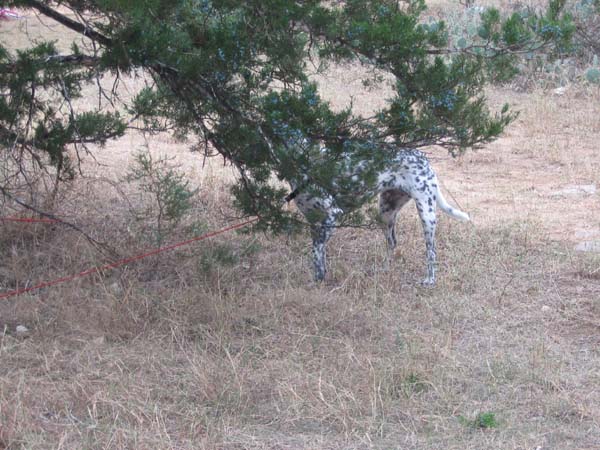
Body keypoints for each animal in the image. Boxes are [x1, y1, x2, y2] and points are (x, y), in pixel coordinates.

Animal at [290, 146, 468, 286]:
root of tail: (422, 157)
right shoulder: (315, 224)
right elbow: (320, 255)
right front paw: (319, 276)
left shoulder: (333, 215)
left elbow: (316, 254)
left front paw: (318, 280)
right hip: (385, 213)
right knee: (392, 243)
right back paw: (384, 269)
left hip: (426, 214)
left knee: (431, 251)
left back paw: (430, 280)